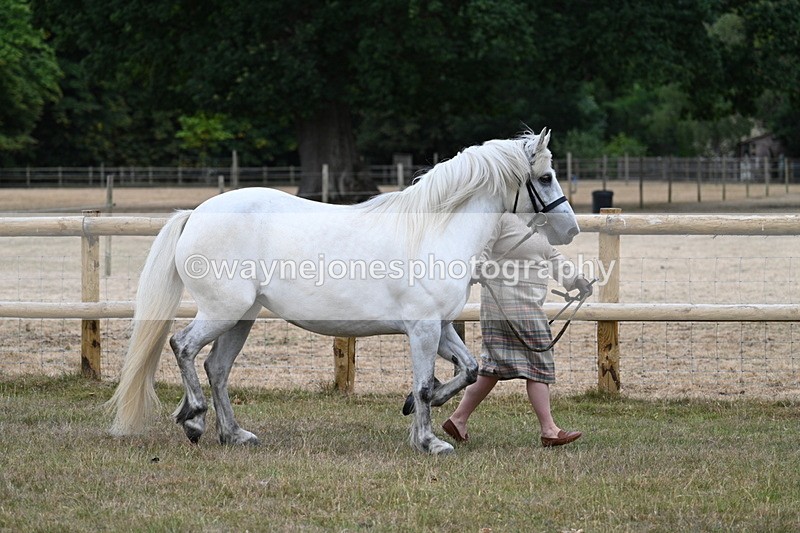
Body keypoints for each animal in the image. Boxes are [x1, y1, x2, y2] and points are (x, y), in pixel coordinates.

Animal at [106, 127, 579, 455]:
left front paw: (412, 413)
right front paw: (430, 442)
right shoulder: (424, 328)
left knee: (217, 368)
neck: (434, 230)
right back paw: (195, 421)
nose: (570, 230)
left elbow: (467, 371)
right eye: (546, 176)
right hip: (222, 311)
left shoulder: (441, 327)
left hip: (242, 317)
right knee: (183, 347)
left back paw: (234, 434)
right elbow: (427, 385)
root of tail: (196, 213)